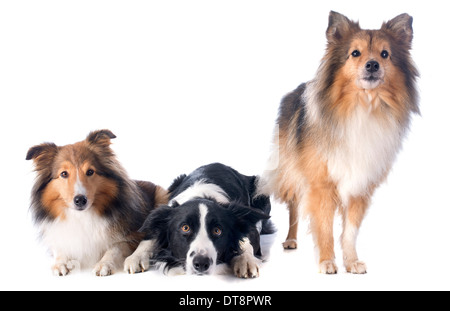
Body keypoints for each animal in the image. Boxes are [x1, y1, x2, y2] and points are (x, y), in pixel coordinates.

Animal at [26, 130, 168, 276]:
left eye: (90, 172)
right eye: (64, 174)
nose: (80, 200)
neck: (82, 217)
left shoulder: (131, 233)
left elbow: (116, 247)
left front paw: (104, 264)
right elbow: (60, 248)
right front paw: (60, 263)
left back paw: (136, 259)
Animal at [124, 165, 274, 280]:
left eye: (217, 230)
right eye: (185, 228)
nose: (201, 263)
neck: (200, 196)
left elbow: (245, 240)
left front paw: (245, 260)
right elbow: (149, 237)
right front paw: (135, 257)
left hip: (260, 190)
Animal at [258, 11, 420, 276]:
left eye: (385, 54)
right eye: (355, 53)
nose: (372, 65)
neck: (363, 105)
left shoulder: (360, 185)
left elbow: (349, 231)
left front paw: (352, 261)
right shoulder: (321, 183)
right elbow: (324, 227)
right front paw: (326, 261)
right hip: (291, 170)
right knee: (294, 206)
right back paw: (291, 240)